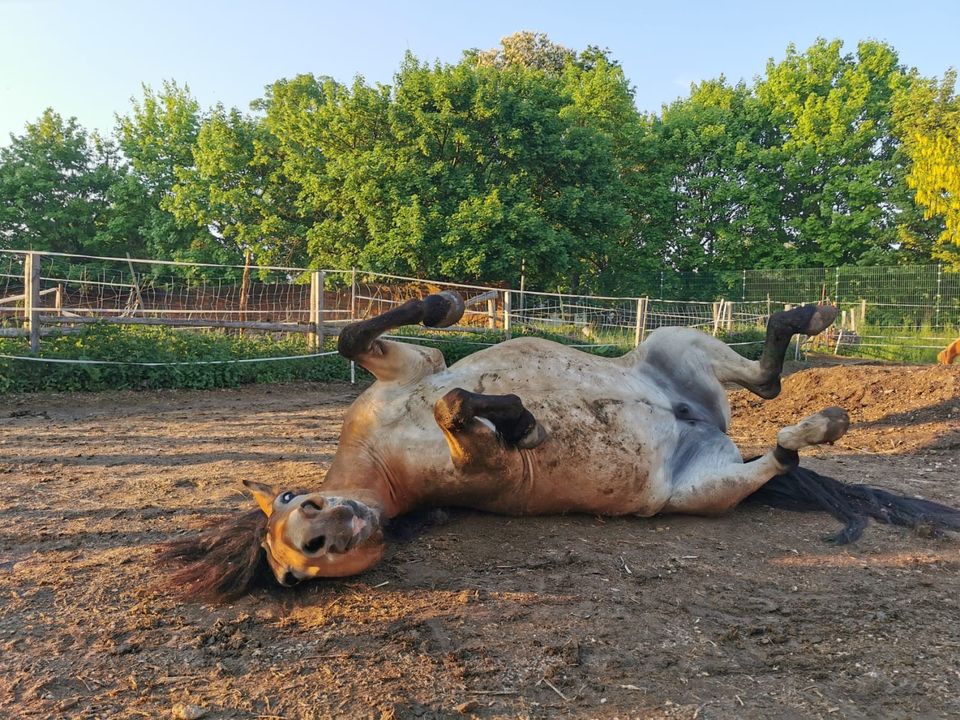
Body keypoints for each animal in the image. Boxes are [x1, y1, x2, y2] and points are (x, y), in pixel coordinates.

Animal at [161, 290, 960, 600]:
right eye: (292, 574)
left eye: (295, 502)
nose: (326, 537)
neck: (384, 460)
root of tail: (705, 428)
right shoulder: (477, 466)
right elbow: (460, 409)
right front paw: (522, 421)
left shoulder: (407, 368)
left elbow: (367, 341)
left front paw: (449, 306)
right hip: (702, 492)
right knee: (778, 444)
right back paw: (821, 423)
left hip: (674, 342)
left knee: (765, 380)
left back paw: (811, 317)